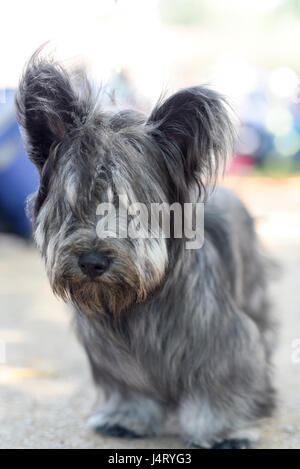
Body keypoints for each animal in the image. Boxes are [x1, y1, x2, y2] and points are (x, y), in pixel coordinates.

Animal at [15, 49, 276, 448]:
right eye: (76, 203)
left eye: (130, 207)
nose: (92, 262)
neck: (137, 304)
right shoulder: (115, 355)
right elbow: (131, 387)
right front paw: (127, 418)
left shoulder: (223, 344)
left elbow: (221, 387)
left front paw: (222, 431)